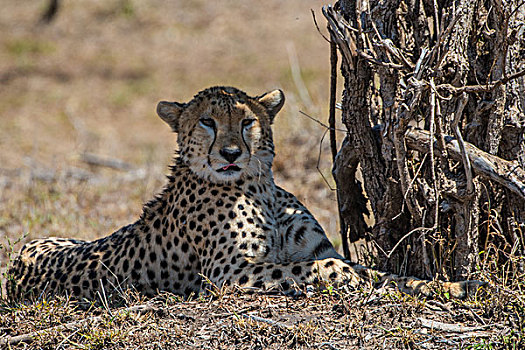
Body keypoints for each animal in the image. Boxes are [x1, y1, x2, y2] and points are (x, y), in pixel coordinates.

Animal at [7, 87, 484, 300]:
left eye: (247, 121)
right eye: (207, 122)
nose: (231, 153)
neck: (259, 186)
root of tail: (17, 259)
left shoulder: (313, 246)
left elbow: (366, 268)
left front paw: (450, 284)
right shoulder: (228, 273)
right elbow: (330, 269)